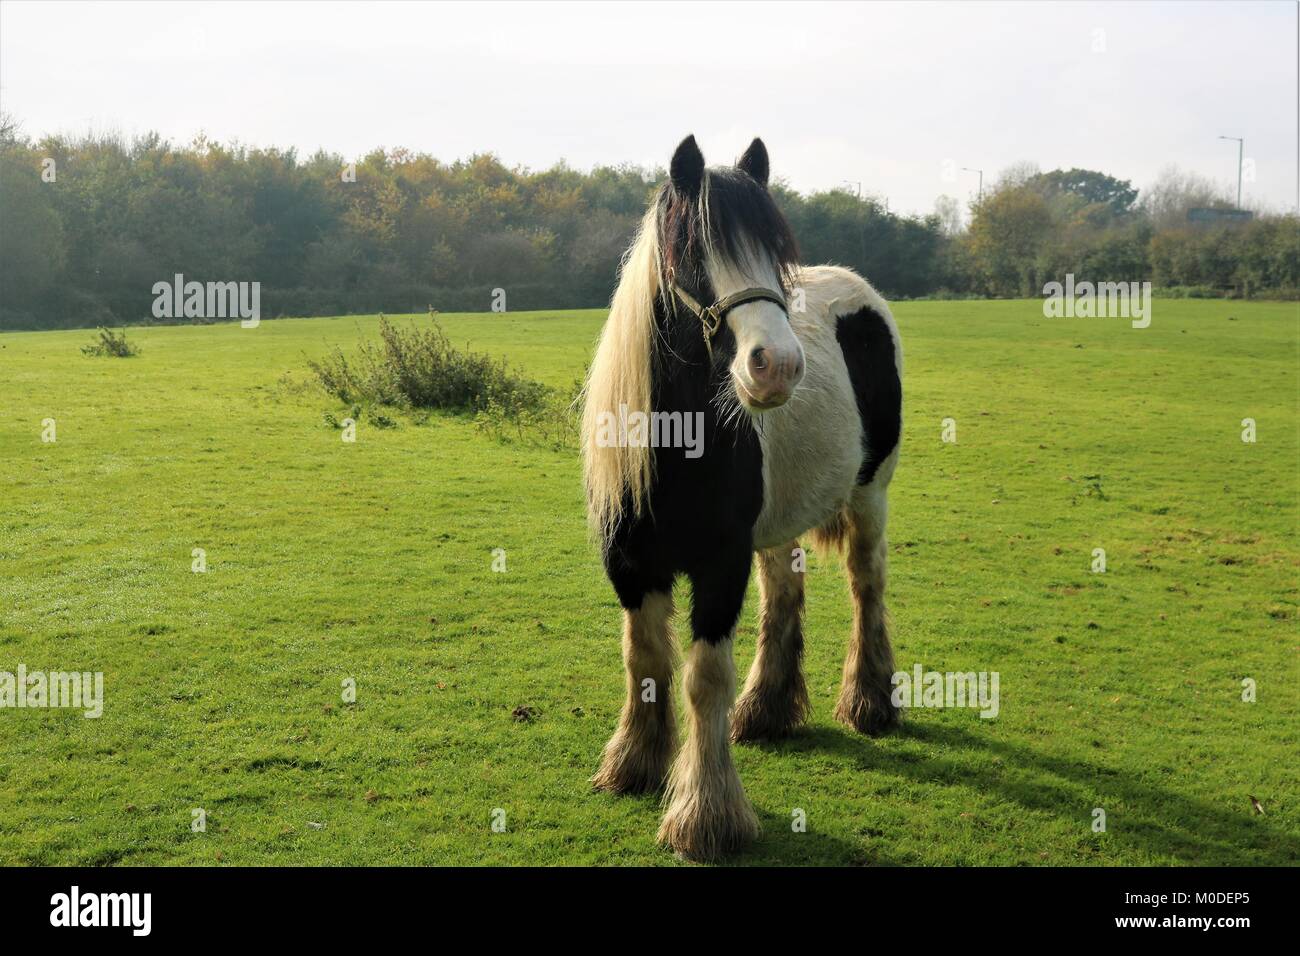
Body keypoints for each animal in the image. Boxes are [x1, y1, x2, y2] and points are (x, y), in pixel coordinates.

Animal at [582, 134, 904, 858]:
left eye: (774, 251)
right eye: (694, 250)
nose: (777, 365)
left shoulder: (718, 566)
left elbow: (704, 680)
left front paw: (705, 815)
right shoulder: (630, 567)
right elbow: (643, 659)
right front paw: (635, 764)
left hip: (870, 496)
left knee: (866, 584)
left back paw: (869, 702)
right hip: (778, 521)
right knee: (784, 593)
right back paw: (766, 710)